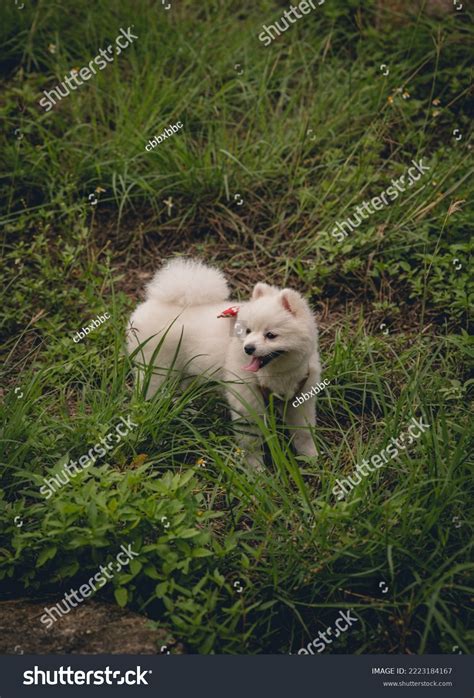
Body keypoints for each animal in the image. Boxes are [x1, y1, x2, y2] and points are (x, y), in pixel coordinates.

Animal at [127, 258, 322, 464]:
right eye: (248, 331)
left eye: (271, 335)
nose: (248, 348)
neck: (276, 374)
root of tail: (152, 303)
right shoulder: (246, 399)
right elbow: (250, 440)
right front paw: (255, 466)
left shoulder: (301, 398)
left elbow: (304, 432)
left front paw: (310, 457)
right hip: (158, 369)